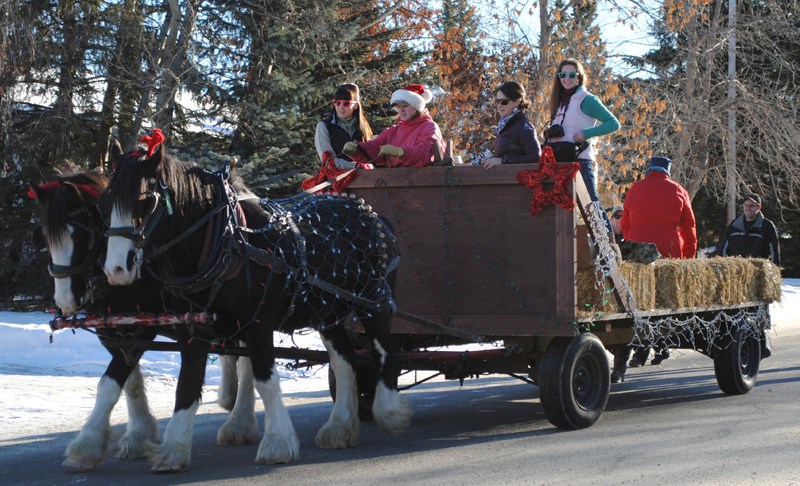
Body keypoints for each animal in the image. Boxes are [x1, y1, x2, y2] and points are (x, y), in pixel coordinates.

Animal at [28, 172, 244, 470]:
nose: (65, 300)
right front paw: (139, 435)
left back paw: (238, 421)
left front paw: (86, 443)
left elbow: (110, 384)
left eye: (80, 234)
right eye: (45, 237)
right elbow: (129, 380)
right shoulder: (115, 332)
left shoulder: (149, 331)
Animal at [102, 138, 410, 470]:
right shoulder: (194, 328)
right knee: (345, 362)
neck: (223, 241)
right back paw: (340, 427)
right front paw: (173, 449)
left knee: (384, 352)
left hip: (372, 303)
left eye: (145, 201)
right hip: (328, 312)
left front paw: (277, 443)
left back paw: (390, 412)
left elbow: (265, 380)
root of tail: (374, 214)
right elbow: (187, 384)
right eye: (105, 202)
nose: (116, 269)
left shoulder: (258, 324)